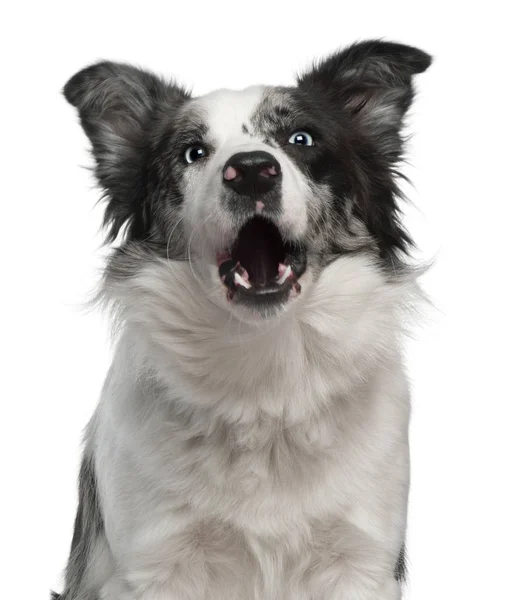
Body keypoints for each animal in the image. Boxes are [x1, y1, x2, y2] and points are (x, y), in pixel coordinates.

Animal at [54, 39, 432, 596]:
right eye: (193, 152)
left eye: (301, 139)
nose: (252, 169)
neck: (264, 368)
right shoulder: (154, 561)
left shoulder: (361, 559)